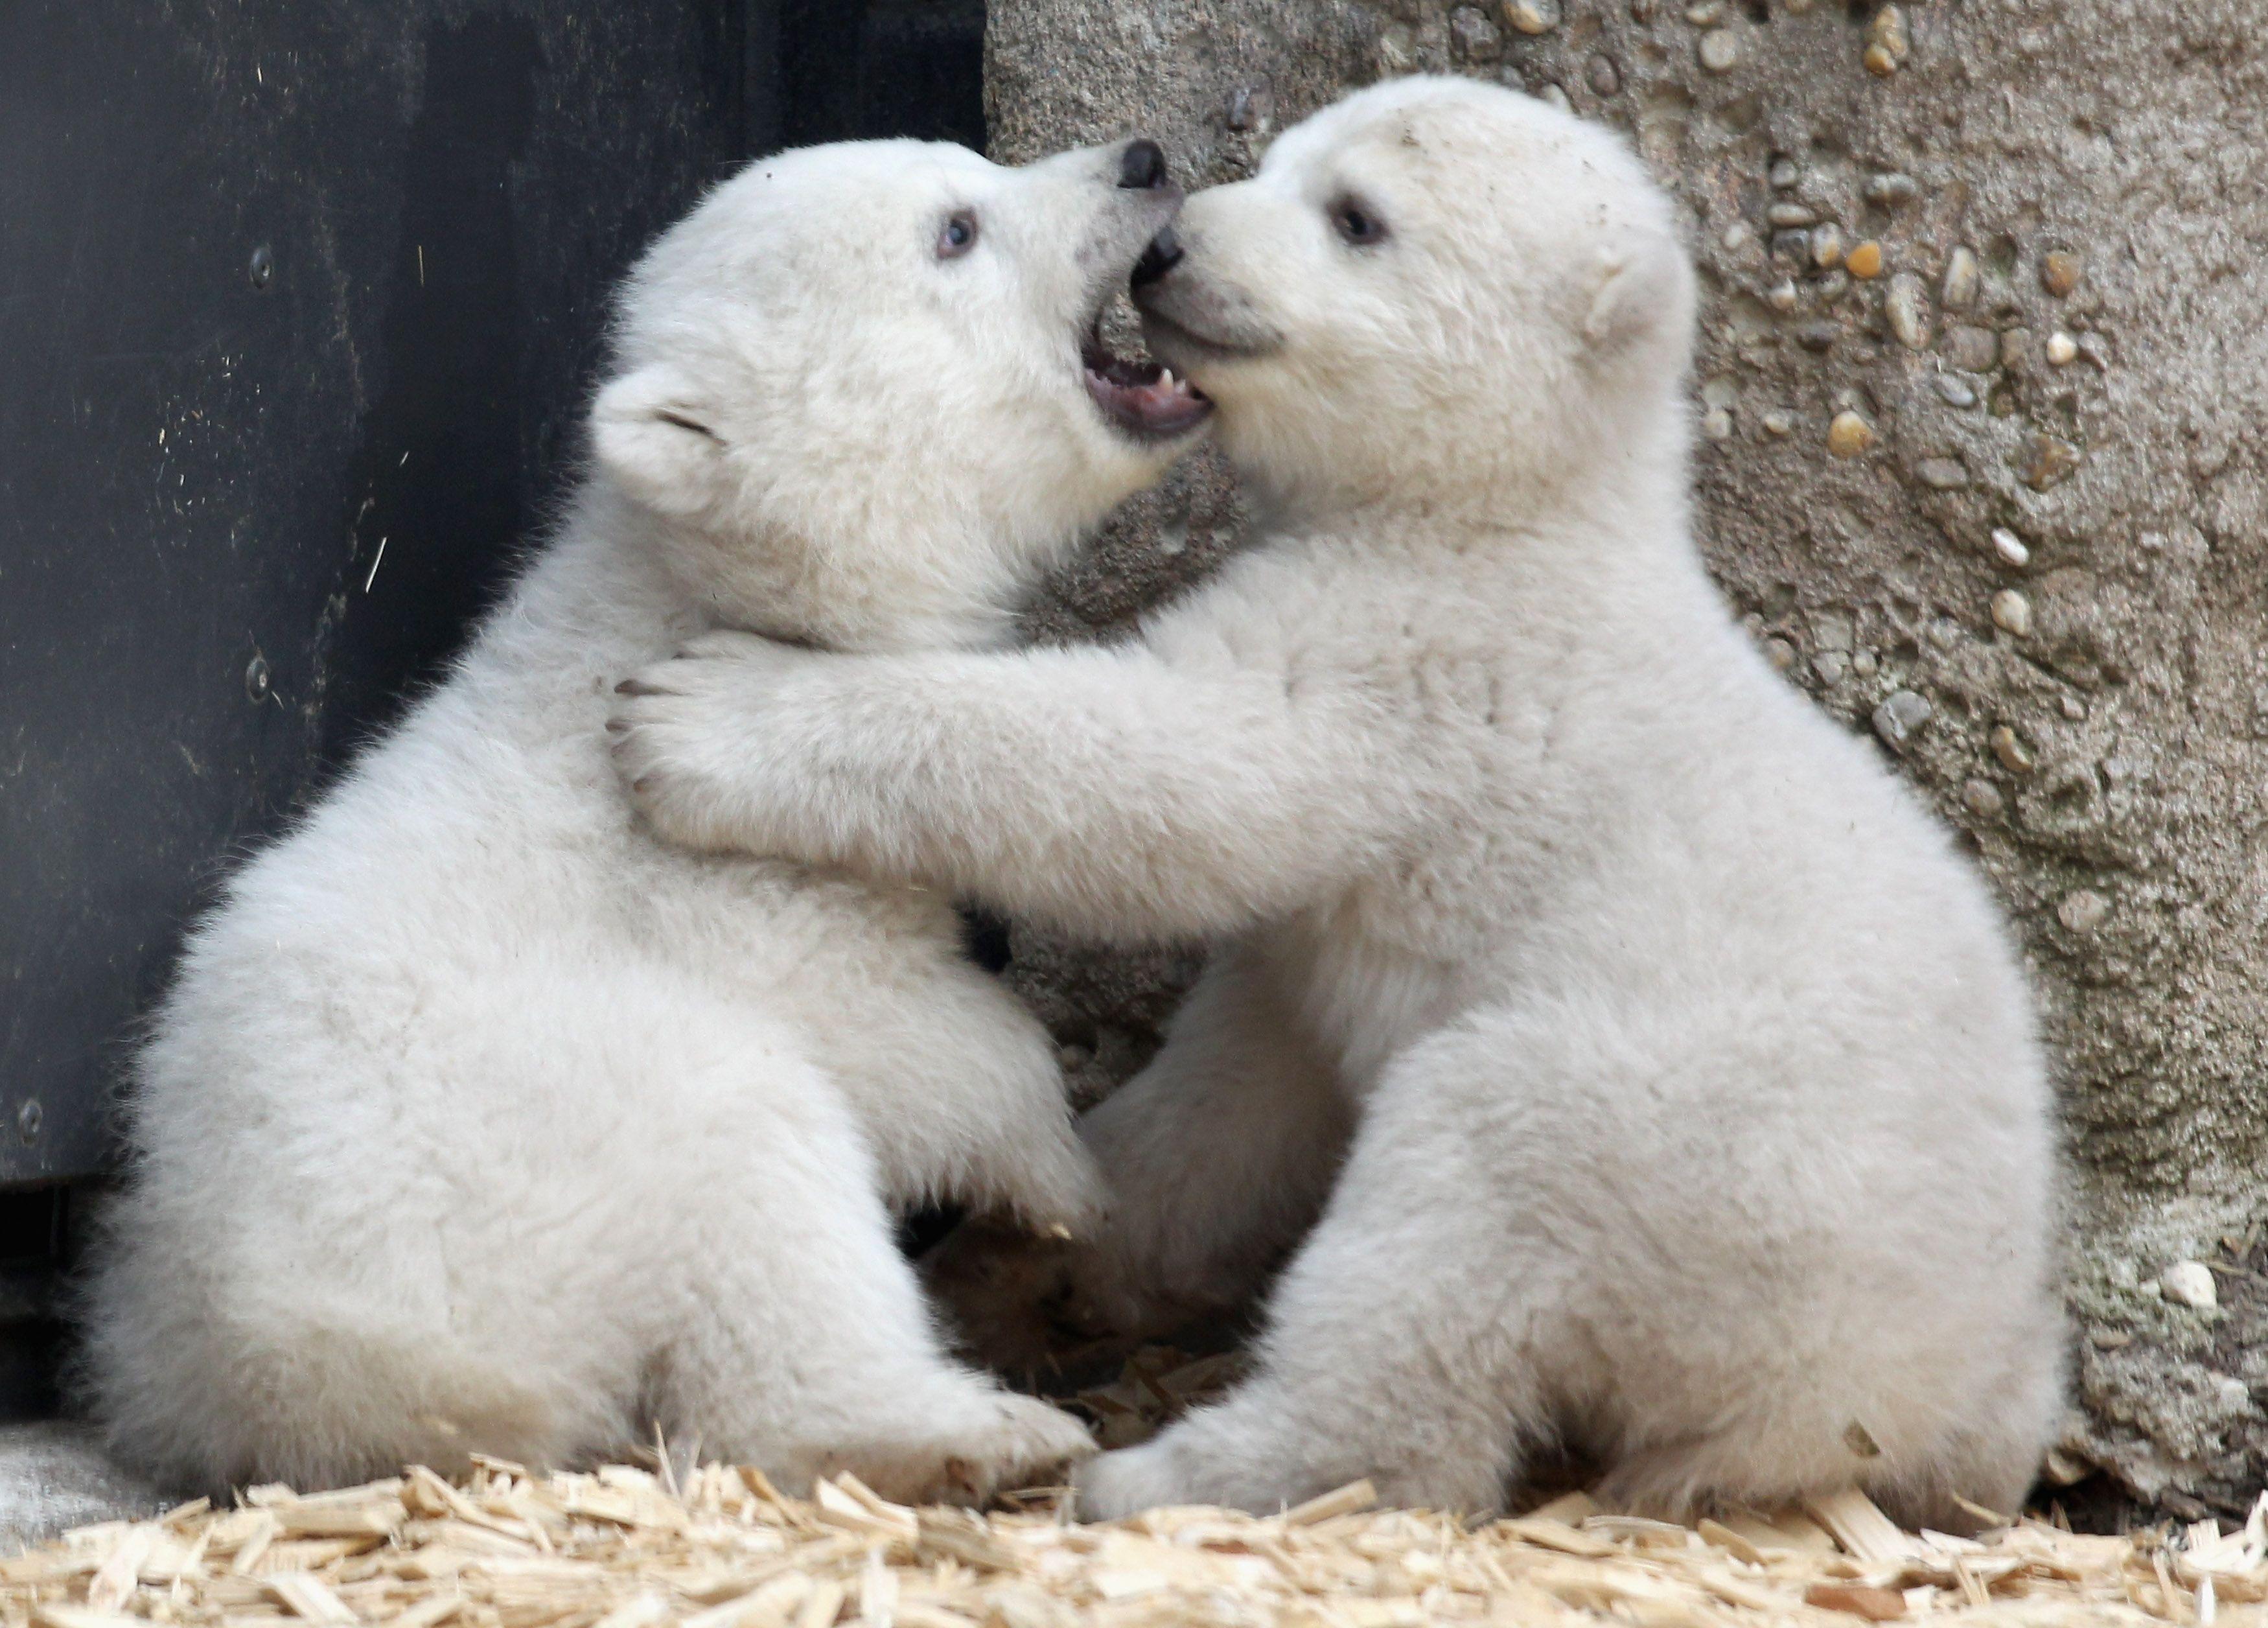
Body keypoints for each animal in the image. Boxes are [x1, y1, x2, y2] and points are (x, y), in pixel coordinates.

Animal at [82, 130, 1213, 1500]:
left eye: (967, 166)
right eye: (956, 230)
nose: (1142, 160)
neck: (697, 593)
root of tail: (291, 1373)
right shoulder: (702, 875)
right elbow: (905, 1039)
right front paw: (1064, 1177)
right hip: (531, 1164)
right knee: (760, 1176)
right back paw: (974, 1432)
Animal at [605, 76, 2067, 1529]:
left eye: (1357, 217)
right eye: (1286, 158)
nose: (1168, 246)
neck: (1510, 515)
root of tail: (1854, 1406)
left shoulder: (1420, 662)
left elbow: (1170, 768)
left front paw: (701, 718)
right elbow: (1237, 1087)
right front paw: (1031, 1254)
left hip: (1688, 1149)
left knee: (1454, 1219)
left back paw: (1181, 1469)